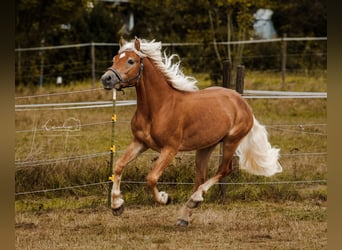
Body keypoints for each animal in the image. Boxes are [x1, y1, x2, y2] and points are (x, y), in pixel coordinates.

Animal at [100, 37, 282, 227]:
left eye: (130, 61)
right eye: (114, 58)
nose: (106, 79)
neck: (158, 107)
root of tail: (242, 102)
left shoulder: (170, 149)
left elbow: (151, 178)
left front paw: (165, 198)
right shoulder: (140, 142)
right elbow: (119, 166)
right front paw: (117, 206)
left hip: (231, 141)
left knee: (224, 170)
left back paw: (194, 200)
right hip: (205, 147)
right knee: (200, 177)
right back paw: (185, 215)